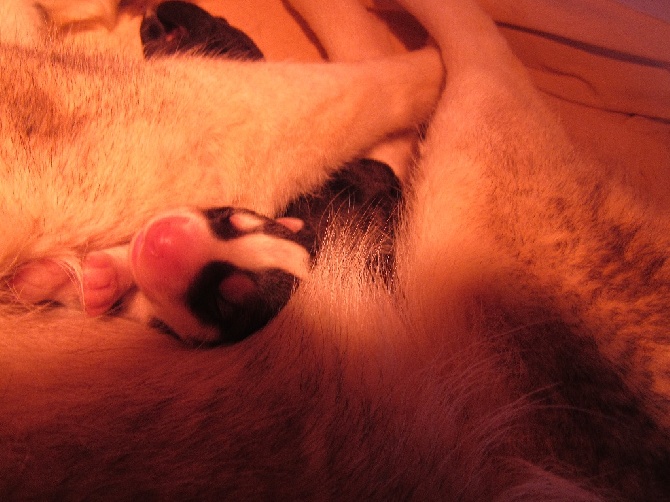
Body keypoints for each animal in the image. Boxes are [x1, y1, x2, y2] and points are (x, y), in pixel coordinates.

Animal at [1, 0, 670, 498]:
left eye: (231, 299)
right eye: (230, 217)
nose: (162, 238)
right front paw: (78, 277)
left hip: (468, 174)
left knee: (460, 51)